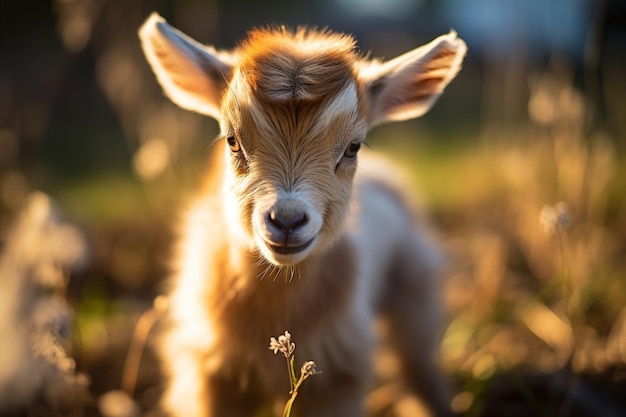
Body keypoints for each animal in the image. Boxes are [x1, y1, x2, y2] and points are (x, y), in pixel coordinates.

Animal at [139, 13, 466, 416]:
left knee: (419, 365)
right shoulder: (210, 373)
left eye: (353, 147)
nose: (287, 221)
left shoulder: (338, 375)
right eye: (232, 140)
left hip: (414, 289)